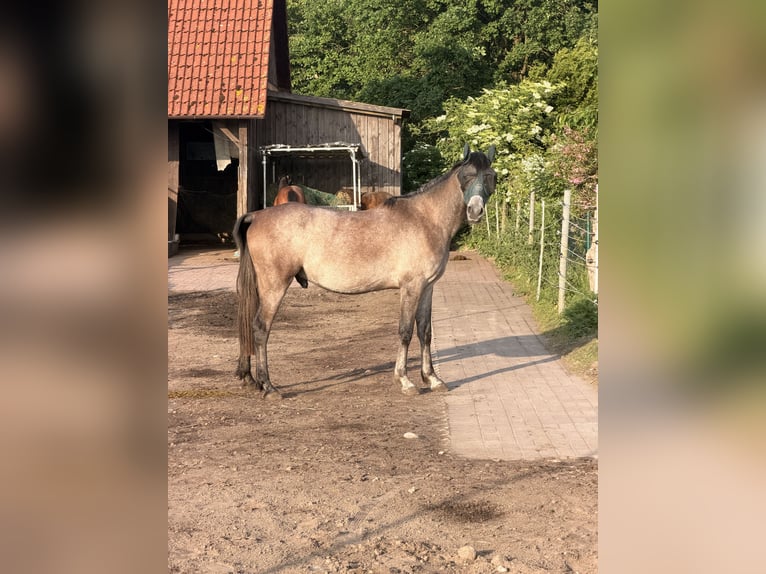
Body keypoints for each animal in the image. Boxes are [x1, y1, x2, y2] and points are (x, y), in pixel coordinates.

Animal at [233, 144, 496, 398]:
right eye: (466, 175)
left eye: (490, 176)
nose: (475, 211)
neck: (425, 219)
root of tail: (256, 216)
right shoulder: (411, 287)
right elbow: (406, 331)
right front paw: (405, 381)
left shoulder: (427, 287)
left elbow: (425, 332)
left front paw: (432, 379)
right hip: (274, 286)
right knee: (260, 328)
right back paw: (268, 387)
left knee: (248, 324)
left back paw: (249, 379)